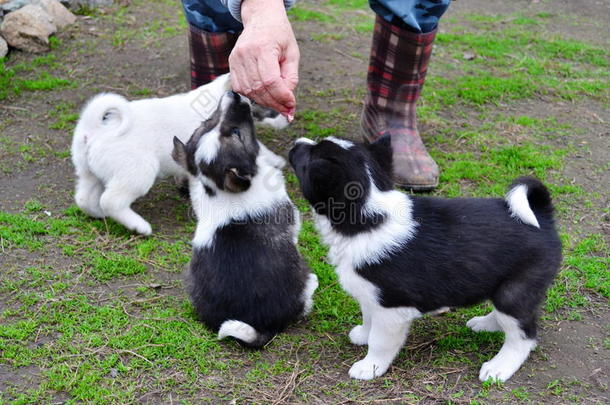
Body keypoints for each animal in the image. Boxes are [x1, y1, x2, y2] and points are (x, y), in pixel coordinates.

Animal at [71, 73, 288, 234]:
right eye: (261, 99)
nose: (287, 118)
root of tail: (94, 129)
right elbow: (256, 148)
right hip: (138, 173)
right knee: (111, 201)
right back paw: (139, 226)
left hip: (88, 174)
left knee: (84, 199)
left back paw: (98, 213)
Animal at [170, 90, 316, 348]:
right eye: (238, 133)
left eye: (207, 122)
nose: (234, 94)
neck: (219, 189)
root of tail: (259, 327)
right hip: (302, 278)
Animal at [288, 136, 560, 382]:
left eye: (309, 157)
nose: (296, 143)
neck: (367, 217)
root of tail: (543, 218)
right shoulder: (371, 295)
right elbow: (367, 317)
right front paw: (362, 335)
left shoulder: (391, 308)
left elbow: (380, 341)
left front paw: (370, 366)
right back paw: (486, 323)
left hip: (516, 289)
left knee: (523, 336)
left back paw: (499, 367)